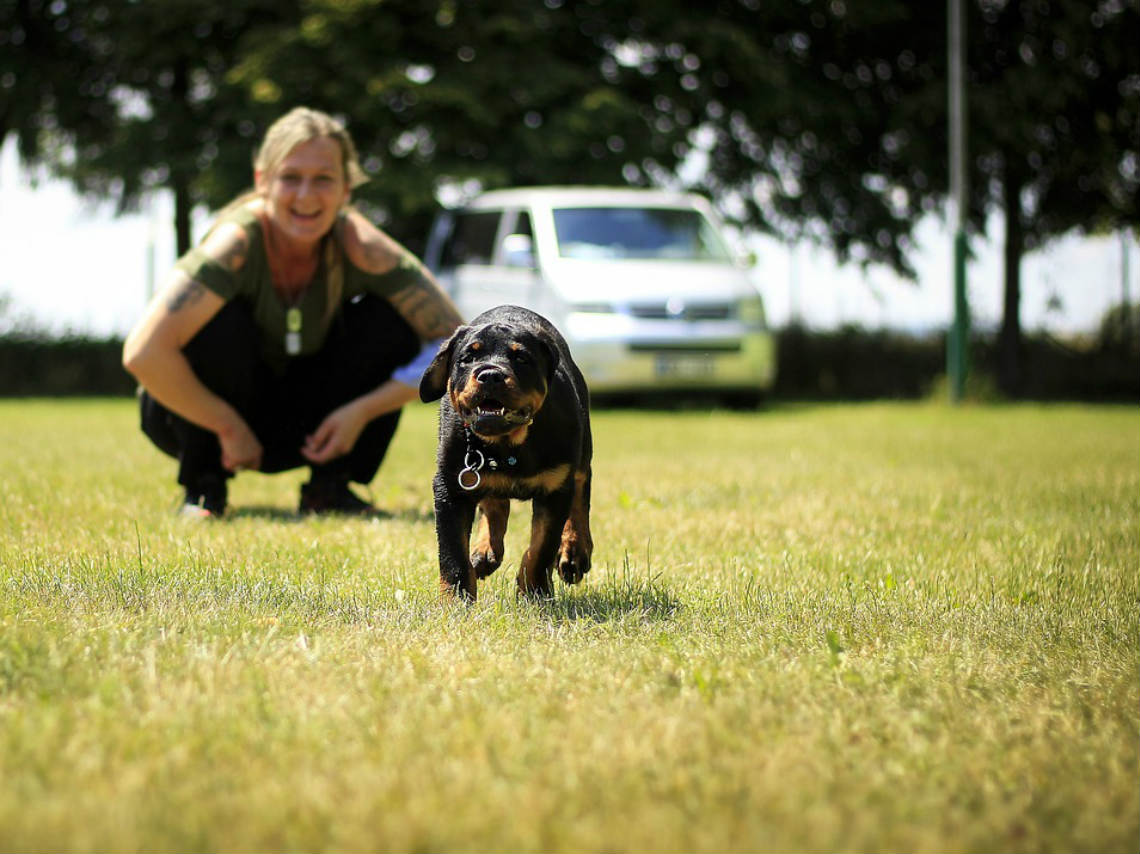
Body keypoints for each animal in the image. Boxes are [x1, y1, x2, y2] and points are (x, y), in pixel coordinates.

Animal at [421, 305, 597, 597]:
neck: (508, 445)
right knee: (494, 502)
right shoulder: (451, 486)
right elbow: (452, 555)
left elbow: (541, 549)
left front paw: (535, 592)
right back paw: (485, 551)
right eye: (468, 357)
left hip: (582, 450)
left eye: (522, 358)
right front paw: (457, 600)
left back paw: (574, 552)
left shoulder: (556, 486)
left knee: (582, 488)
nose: (490, 375)